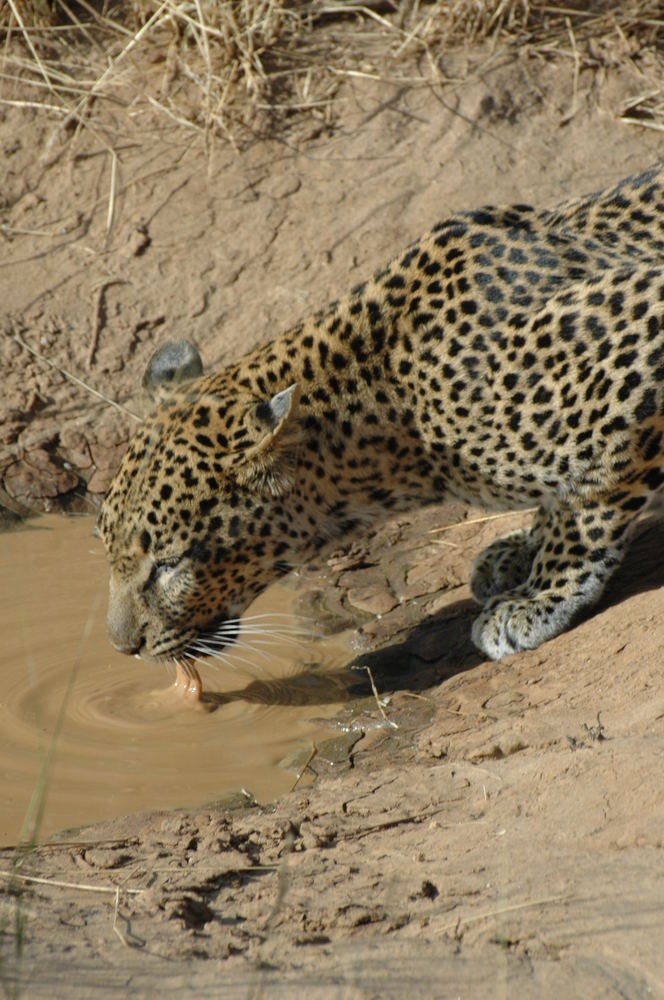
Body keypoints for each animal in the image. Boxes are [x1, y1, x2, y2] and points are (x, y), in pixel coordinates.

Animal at [97, 164, 664, 664]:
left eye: (170, 564)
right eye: (107, 547)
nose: (124, 648)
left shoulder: (635, 328)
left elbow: (586, 504)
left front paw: (537, 595)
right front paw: (518, 552)